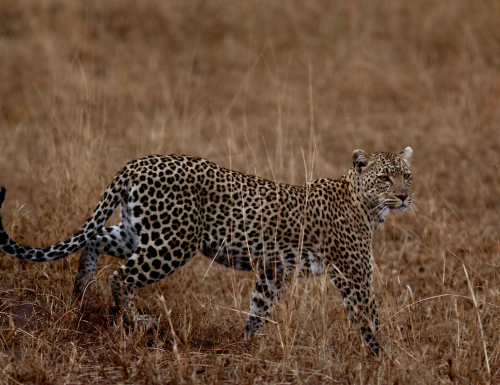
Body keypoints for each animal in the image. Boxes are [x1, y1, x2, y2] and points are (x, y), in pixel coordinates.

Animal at [0, 148, 414, 354]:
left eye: (407, 175)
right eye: (385, 177)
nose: (405, 196)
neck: (368, 206)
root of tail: (136, 163)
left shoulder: (273, 269)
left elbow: (259, 308)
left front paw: (249, 347)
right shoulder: (353, 273)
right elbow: (369, 317)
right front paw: (384, 359)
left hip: (141, 232)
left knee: (94, 239)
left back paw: (79, 292)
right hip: (172, 242)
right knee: (120, 275)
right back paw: (137, 321)